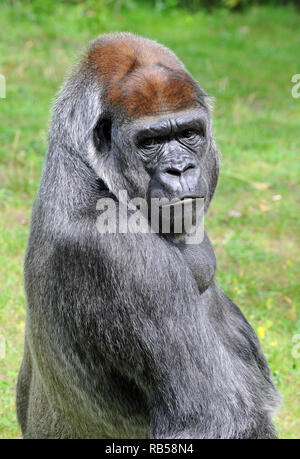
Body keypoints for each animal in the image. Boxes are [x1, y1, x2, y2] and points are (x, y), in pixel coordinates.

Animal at [16, 31, 280, 438]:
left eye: (189, 133)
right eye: (150, 142)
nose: (180, 168)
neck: (89, 170)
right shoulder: (123, 258)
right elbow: (213, 420)